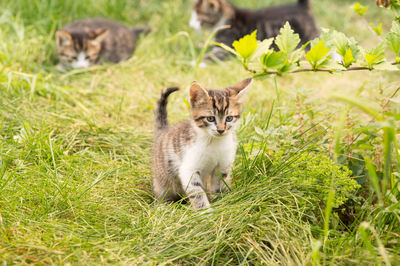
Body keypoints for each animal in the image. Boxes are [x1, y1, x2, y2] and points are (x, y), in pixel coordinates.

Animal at [152, 78, 252, 210]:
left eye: (229, 118)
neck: (215, 142)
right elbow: (197, 192)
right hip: (162, 179)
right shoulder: (188, 168)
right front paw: (205, 211)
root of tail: (164, 131)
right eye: (210, 118)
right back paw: (163, 206)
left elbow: (219, 185)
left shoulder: (222, 166)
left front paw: (221, 202)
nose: (221, 130)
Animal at [190, 0, 318, 60]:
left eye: (198, 18)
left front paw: (191, 62)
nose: (191, 25)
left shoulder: (226, 50)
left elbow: (207, 57)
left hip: (310, 37)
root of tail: (301, 7)